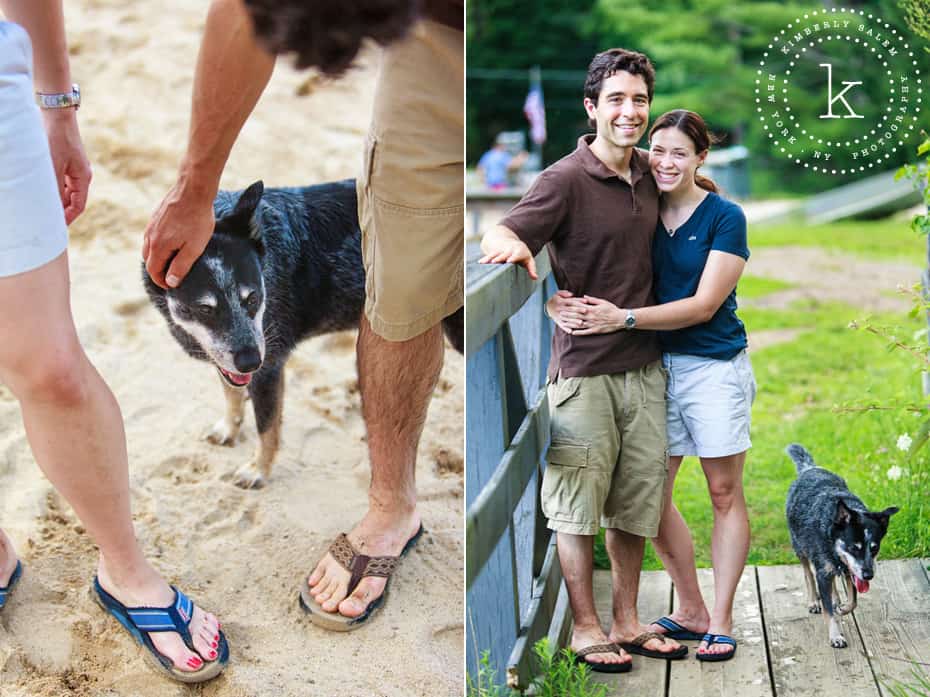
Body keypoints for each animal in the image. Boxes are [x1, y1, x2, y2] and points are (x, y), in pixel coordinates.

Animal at [143, 179, 462, 490]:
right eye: (205, 309)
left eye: (253, 298)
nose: (251, 361)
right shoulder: (231, 361)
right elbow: (231, 392)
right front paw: (229, 429)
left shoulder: (269, 368)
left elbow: (267, 427)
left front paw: (258, 469)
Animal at [784, 446, 892, 648]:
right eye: (854, 547)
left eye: (874, 548)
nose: (869, 575)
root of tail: (809, 468)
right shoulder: (824, 570)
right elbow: (829, 610)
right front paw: (836, 636)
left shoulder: (850, 570)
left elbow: (853, 600)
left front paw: (842, 608)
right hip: (800, 547)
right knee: (808, 574)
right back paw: (813, 601)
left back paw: (836, 599)